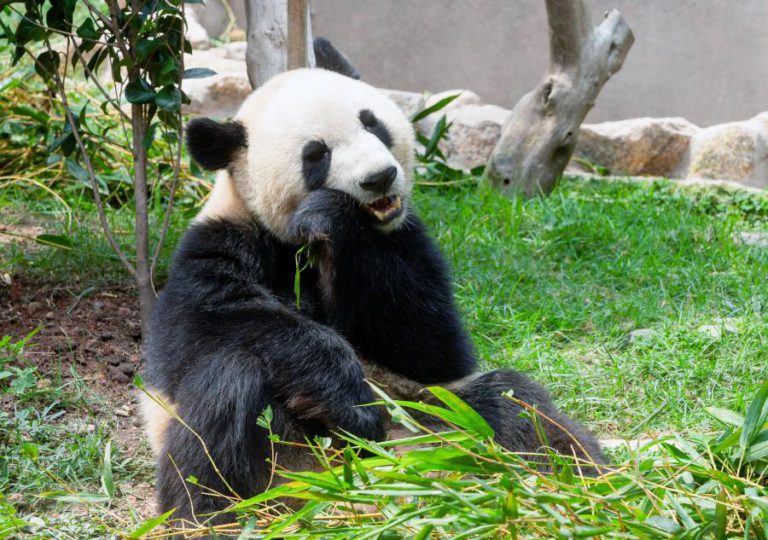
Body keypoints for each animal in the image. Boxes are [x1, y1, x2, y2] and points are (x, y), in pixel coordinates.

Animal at [141, 39, 604, 533]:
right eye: (316, 154)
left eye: (371, 121)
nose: (380, 177)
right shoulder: (220, 243)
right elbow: (205, 326)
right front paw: (348, 401)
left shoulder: (403, 239)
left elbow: (429, 344)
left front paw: (331, 217)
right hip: (281, 457)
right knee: (225, 392)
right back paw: (215, 518)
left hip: (433, 414)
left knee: (514, 407)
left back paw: (582, 486)